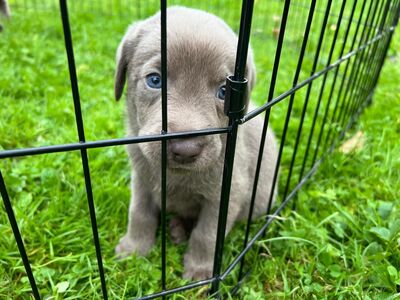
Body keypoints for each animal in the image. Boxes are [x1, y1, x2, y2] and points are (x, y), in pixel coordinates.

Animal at [114, 5, 278, 280]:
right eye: (155, 80)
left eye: (225, 91)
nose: (185, 149)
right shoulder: (141, 178)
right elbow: (138, 213)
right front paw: (133, 249)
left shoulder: (227, 192)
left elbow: (207, 234)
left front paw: (200, 271)